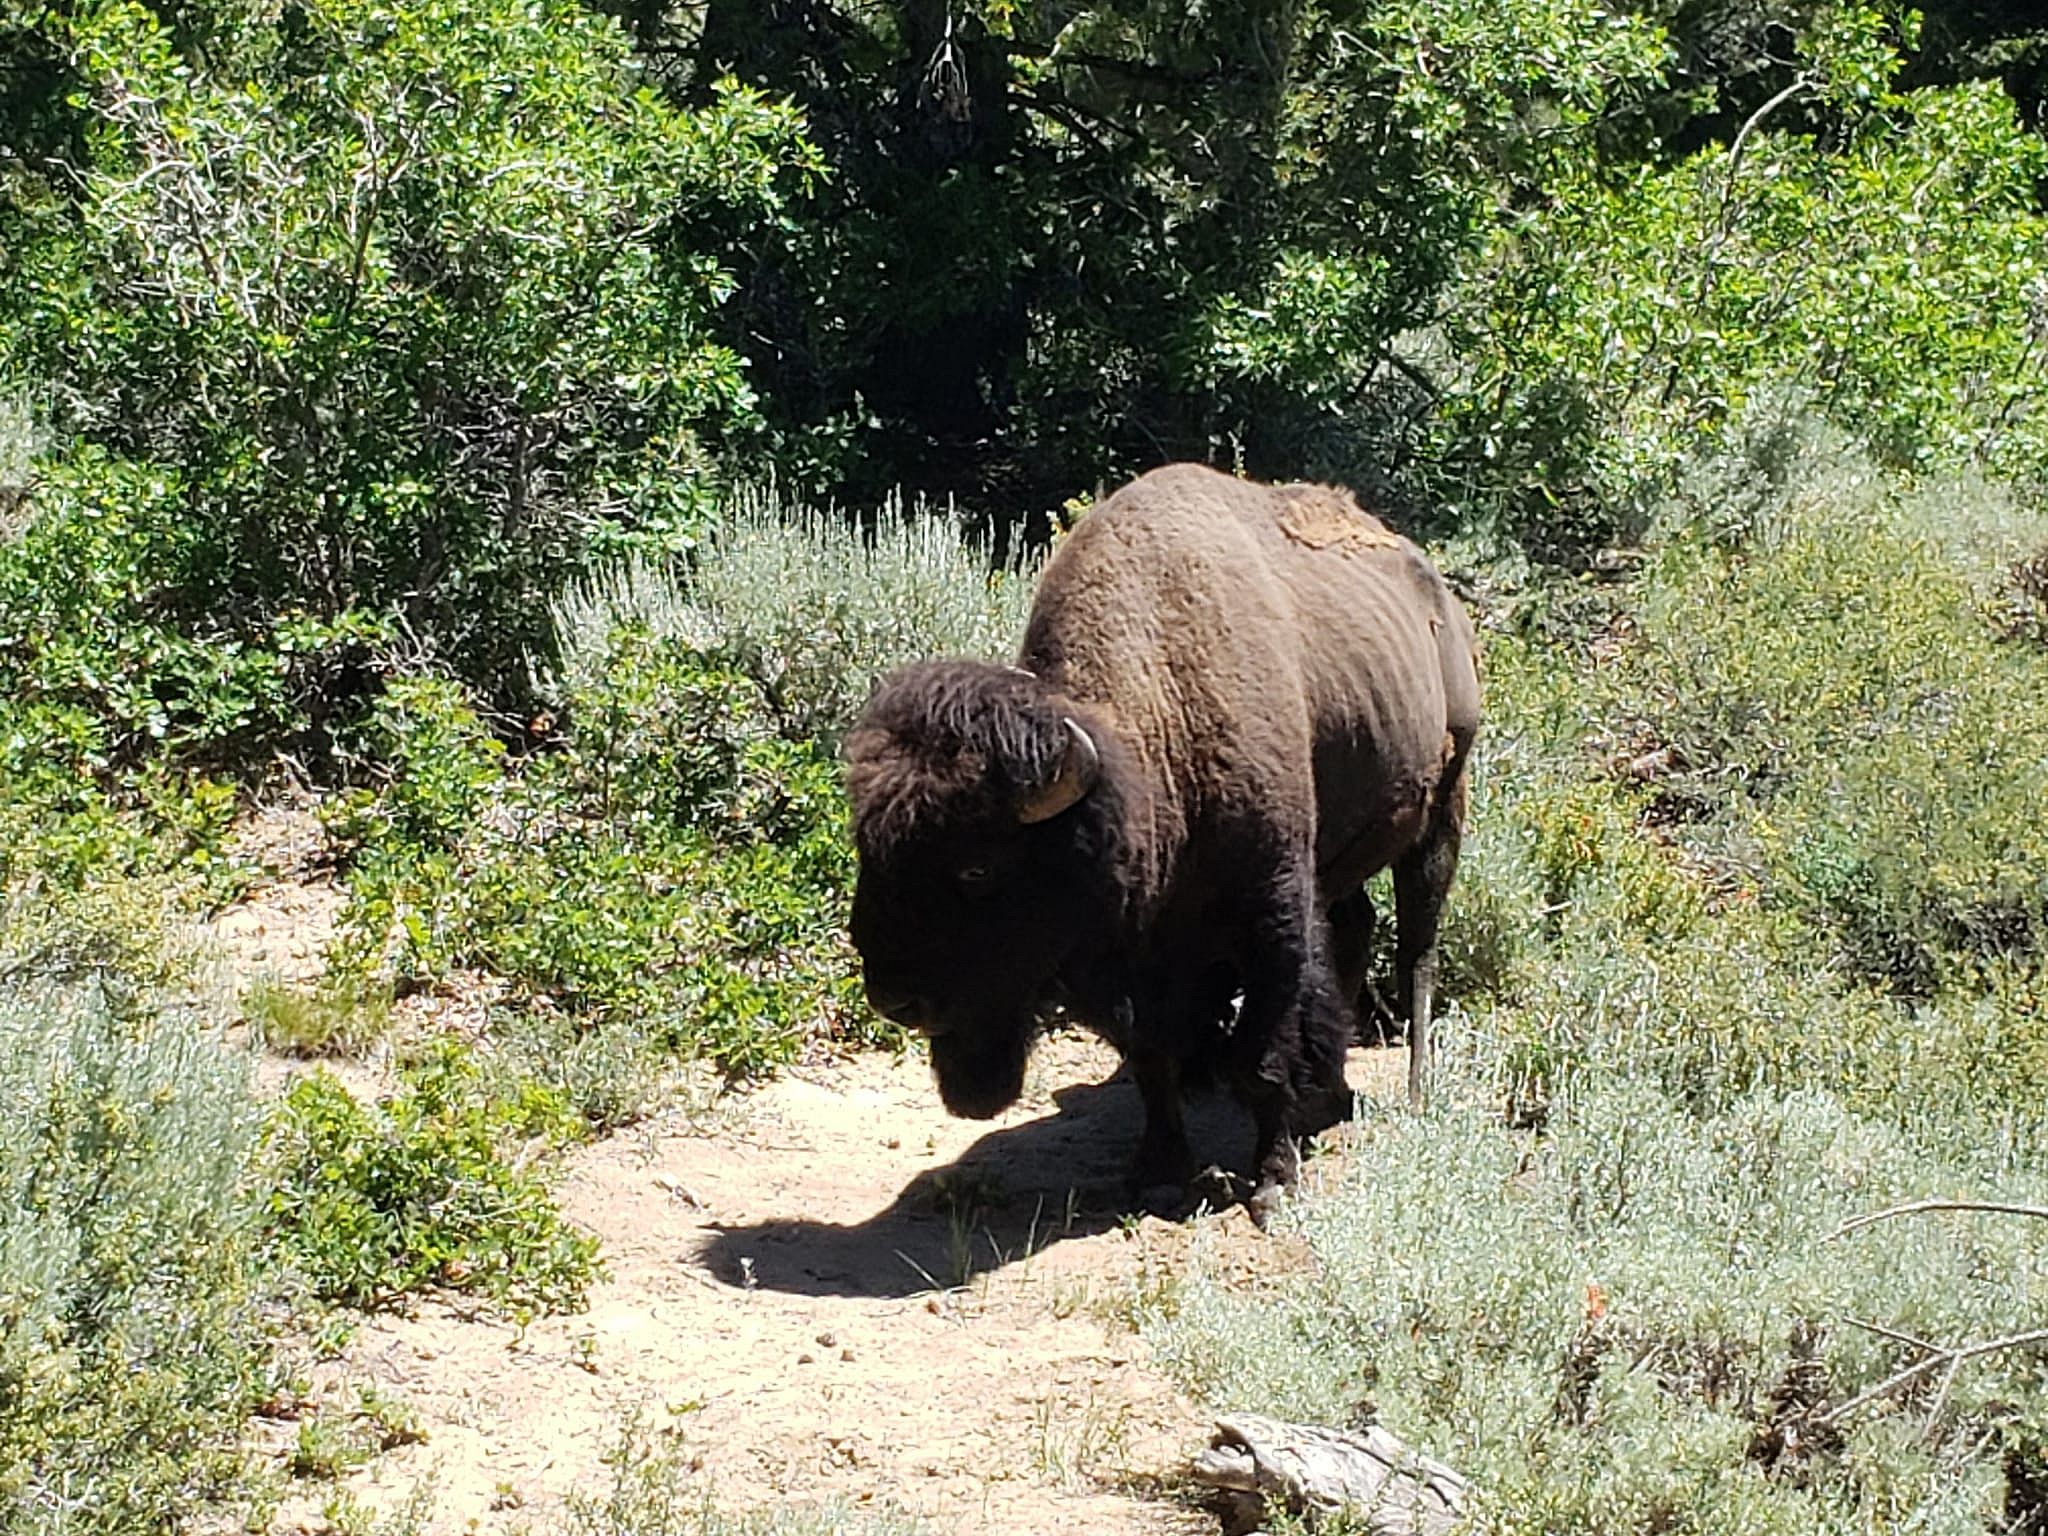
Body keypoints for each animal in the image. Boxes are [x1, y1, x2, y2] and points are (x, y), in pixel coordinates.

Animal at [845, 463, 1480, 1223]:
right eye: (869, 851)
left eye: (977, 869)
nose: (894, 997)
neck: (1160, 733)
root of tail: (1441, 602)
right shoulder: (1144, 960)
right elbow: (1153, 1061)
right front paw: (1160, 1172)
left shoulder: (1270, 914)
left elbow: (1261, 1057)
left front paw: (1272, 1183)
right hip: (1347, 852)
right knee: (1358, 929)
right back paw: (1329, 1093)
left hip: (1442, 808)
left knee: (1418, 947)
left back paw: (1414, 1087)